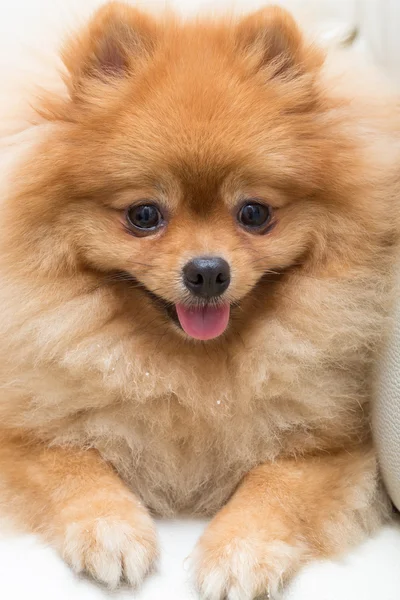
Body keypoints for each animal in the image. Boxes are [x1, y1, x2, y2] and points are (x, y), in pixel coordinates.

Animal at [0, 1, 400, 596]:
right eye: (144, 215)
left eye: (254, 213)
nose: (208, 272)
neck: (190, 374)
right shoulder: (20, 432)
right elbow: (70, 464)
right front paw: (110, 529)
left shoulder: (338, 450)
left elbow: (277, 485)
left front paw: (240, 551)